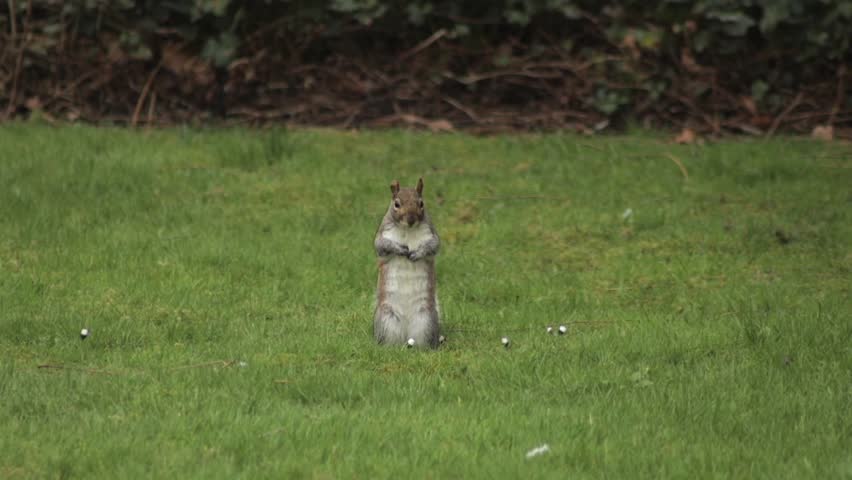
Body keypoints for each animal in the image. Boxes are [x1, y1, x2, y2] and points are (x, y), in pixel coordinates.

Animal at [373, 178, 441, 348]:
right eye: (396, 204)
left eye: (421, 203)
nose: (411, 219)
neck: (408, 230)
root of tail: (406, 336)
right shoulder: (382, 235)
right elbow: (382, 245)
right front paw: (400, 249)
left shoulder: (431, 233)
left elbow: (433, 246)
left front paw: (417, 253)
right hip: (386, 318)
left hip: (426, 318)